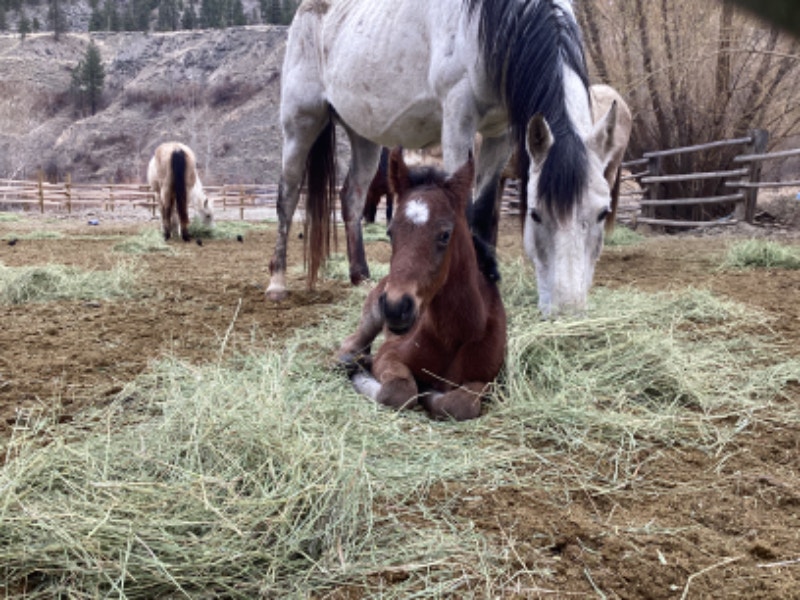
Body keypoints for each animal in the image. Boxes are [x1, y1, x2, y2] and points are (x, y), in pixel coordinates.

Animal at [267, 0, 620, 318]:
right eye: (534, 214)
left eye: (602, 213)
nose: (567, 310)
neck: (501, 20)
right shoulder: (458, 120)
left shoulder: (500, 133)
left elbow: (483, 208)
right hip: (301, 124)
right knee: (287, 198)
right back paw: (277, 282)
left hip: (363, 137)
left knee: (351, 197)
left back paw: (361, 276)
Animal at [337, 148, 506, 421]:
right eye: (390, 232)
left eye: (445, 235)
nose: (396, 307)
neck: (456, 333)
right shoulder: (390, 354)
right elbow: (399, 392)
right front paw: (362, 370)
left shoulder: (489, 380)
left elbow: (460, 404)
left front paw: (430, 392)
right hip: (371, 316)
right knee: (350, 345)